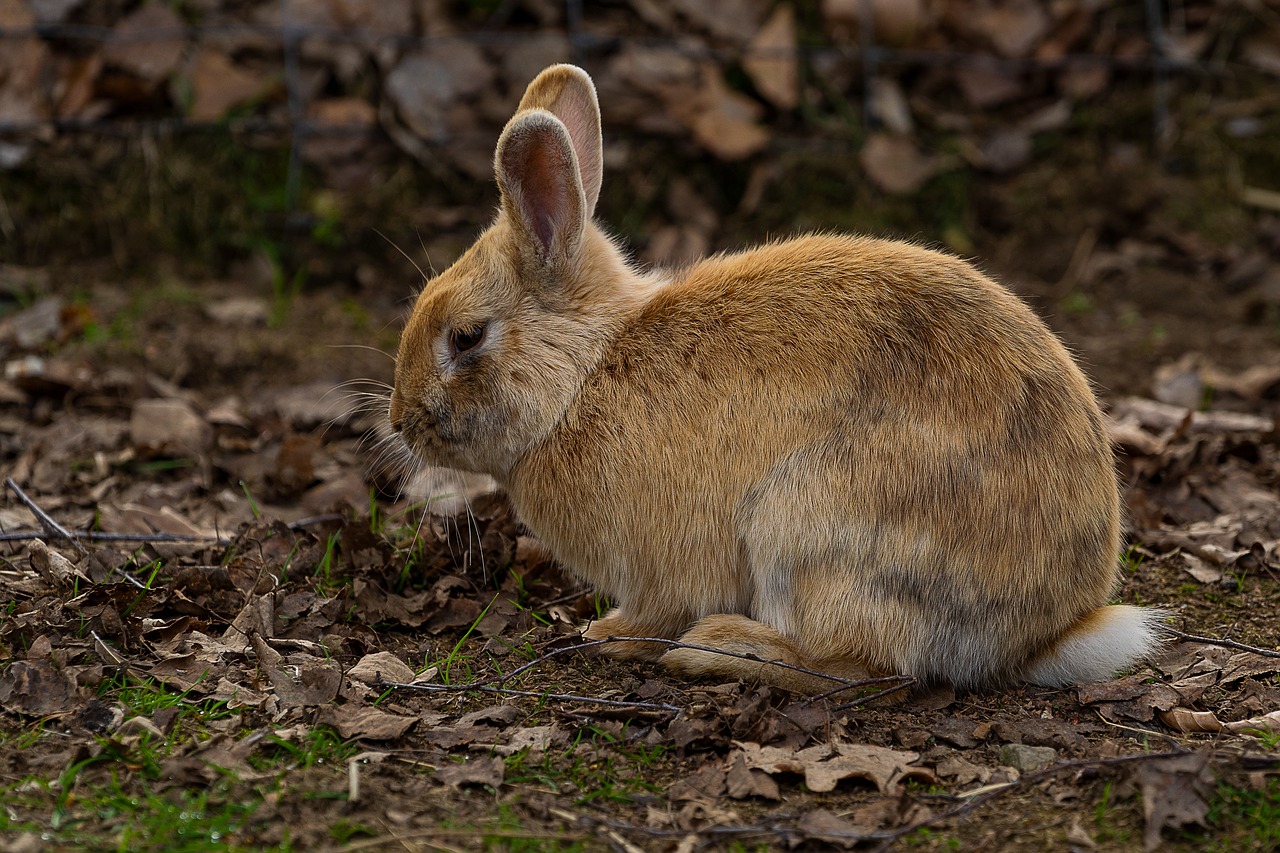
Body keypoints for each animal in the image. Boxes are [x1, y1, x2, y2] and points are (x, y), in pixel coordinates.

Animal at [386, 64, 1162, 691]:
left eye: (466, 337)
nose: (400, 421)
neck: (583, 374)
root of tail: (1046, 634)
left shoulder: (661, 566)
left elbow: (654, 611)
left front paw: (605, 636)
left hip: (806, 526)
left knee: (856, 668)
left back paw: (717, 648)